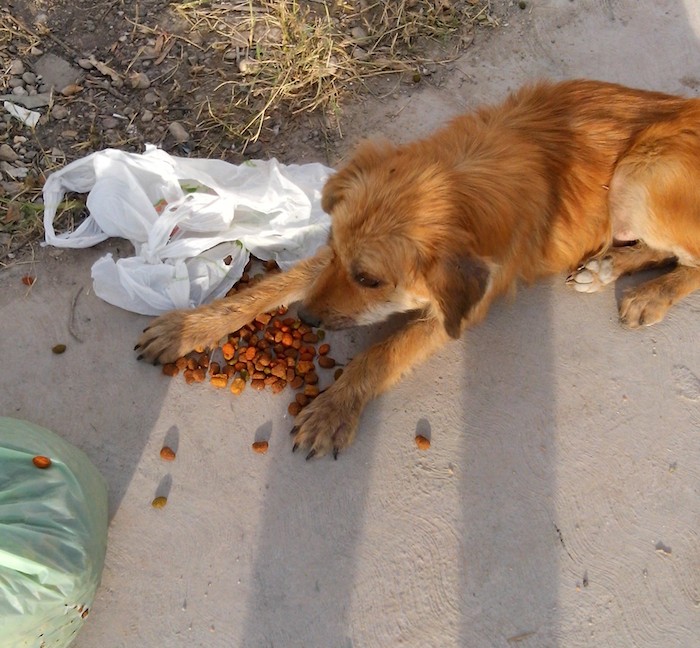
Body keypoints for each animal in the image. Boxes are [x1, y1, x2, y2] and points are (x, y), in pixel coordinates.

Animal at [135, 78, 700, 458]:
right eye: (334, 251)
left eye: (370, 280)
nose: (307, 321)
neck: (459, 183)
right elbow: (269, 288)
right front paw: (188, 327)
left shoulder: (457, 311)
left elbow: (379, 353)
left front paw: (335, 409)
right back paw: (607, 266)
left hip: (640, 173)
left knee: (691, 259)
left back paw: (647, 293)